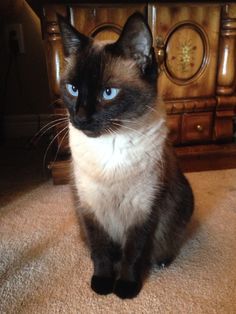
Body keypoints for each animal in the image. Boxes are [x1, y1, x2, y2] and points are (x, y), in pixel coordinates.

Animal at [57, 12, 194, 300]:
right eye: (73, 89)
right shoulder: (89, 206)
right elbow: (101, 252)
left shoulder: (143, 210)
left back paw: (162, 261)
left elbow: (132, 254)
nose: (80, 118)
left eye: (108, 93)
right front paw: (101, 284)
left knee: (164, 246)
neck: (110, 149)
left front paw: (126, 288)